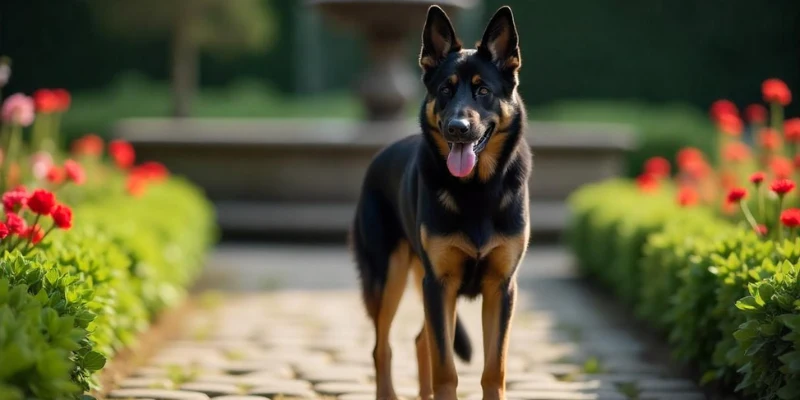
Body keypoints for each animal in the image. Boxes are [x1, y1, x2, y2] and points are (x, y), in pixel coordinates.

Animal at [352, 5, 532, 400]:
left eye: (483, 90)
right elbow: (446, 369)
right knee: (382, 348)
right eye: (445, 91)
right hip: (388, 277)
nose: (456, 128)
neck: (477, 189)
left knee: (421, 341)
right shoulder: (438, 285)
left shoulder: (501, 289)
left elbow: (493, 368)